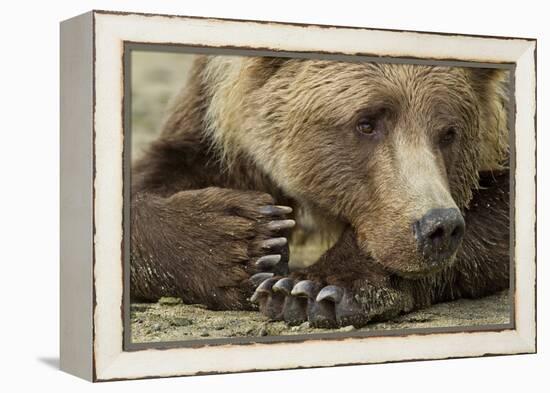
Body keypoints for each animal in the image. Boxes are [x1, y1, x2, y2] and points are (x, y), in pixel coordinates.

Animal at [130, 53, 512, 326]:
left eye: (449, 133)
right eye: (366, 123)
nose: (439, 227)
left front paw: (312, 289)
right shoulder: (210, 113)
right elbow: (161, 171)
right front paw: (246, 241)